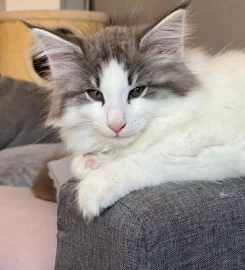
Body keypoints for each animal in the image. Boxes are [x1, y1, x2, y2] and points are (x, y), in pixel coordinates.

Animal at [25, 2, 245, 220]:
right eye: (95, 94)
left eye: (137, 91)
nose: (116, 125)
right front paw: (91, 161)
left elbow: (151, 157)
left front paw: (95, 184)